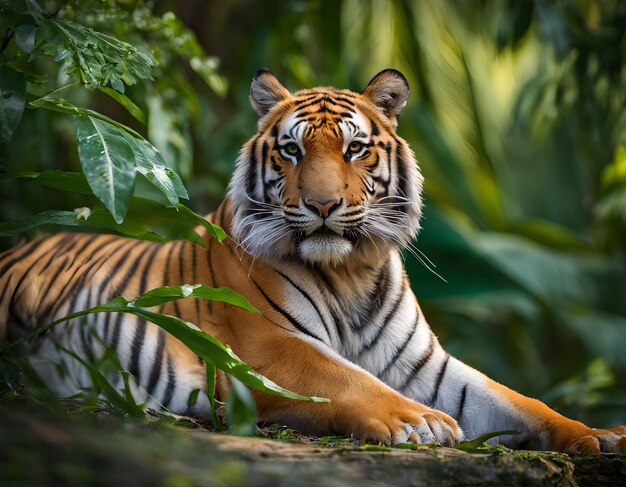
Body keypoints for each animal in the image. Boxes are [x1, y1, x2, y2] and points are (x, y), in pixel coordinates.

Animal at [1, 69, 624, 454]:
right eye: (292, 150)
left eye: (355, 148)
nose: (322, 205)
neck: (352, 273)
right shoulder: (260, 349)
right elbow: (345, 378)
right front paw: (418, 421)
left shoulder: (428, 366)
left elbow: (518, 401)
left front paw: (599, 435)